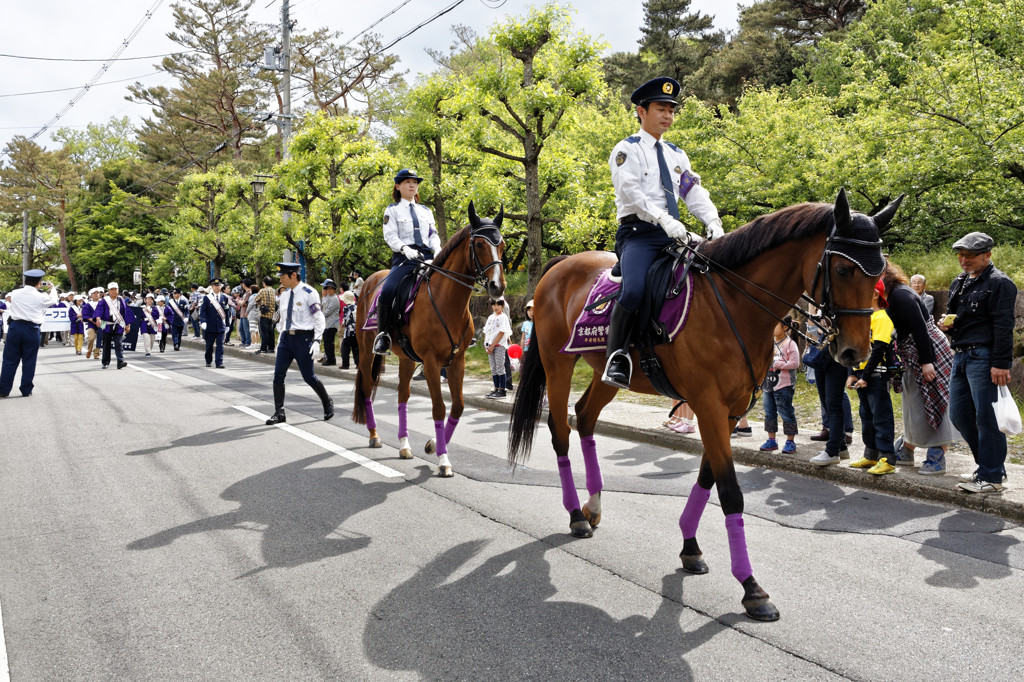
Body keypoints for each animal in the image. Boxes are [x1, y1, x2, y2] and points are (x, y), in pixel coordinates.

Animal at [354, 202, 505, 473]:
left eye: (503, 244)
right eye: (479, 244)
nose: (497, 287)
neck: (447, 300)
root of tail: (370, 280)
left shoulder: (456, 360)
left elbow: (458, 406)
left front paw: (433, 445)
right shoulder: (432, 362)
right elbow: (438, 408)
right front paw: (443, 460)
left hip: (406, 358)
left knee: (402, 395)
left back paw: (404, 445)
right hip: (365, 351)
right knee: (367, 387)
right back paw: (374, 436)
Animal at [507, 188, 901, 618]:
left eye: (879, 272)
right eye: (844, 270)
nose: (855, 351)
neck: (733, 303)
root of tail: (560, 265)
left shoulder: (731, 409)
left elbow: (707, 476)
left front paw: (690, 549)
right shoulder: (709, 405)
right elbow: (729, 490)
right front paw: (751, 587)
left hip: (605, 374)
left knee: (585, 417)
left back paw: (593, 507)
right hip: (557, 364)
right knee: (560, 429)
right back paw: (577, 515)